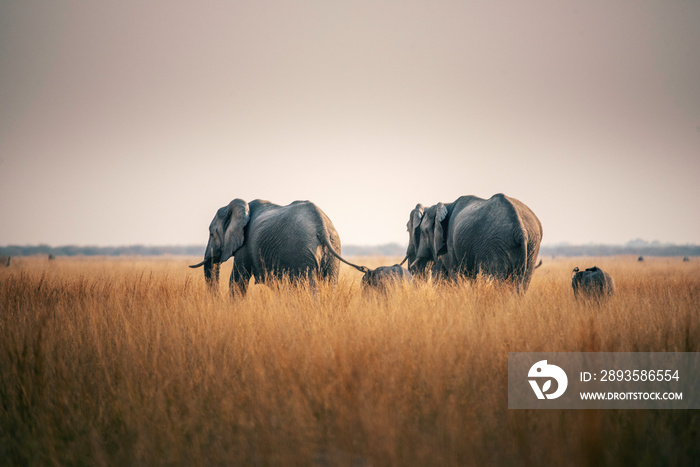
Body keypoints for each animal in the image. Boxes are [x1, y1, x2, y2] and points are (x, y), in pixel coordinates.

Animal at [189, 198, 370, 296]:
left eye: (212, 233)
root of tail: (322, 226)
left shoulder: (245, 246)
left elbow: (238, 280)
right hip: (332, 250)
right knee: (329, 285)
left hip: (302, 252)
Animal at [404, 195, 548, 292]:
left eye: (423, 232)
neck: (444, 204)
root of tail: (520, 229)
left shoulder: (449, 244)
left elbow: (448, 275)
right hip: (531, 247)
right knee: (522, 283)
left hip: (494, 245)